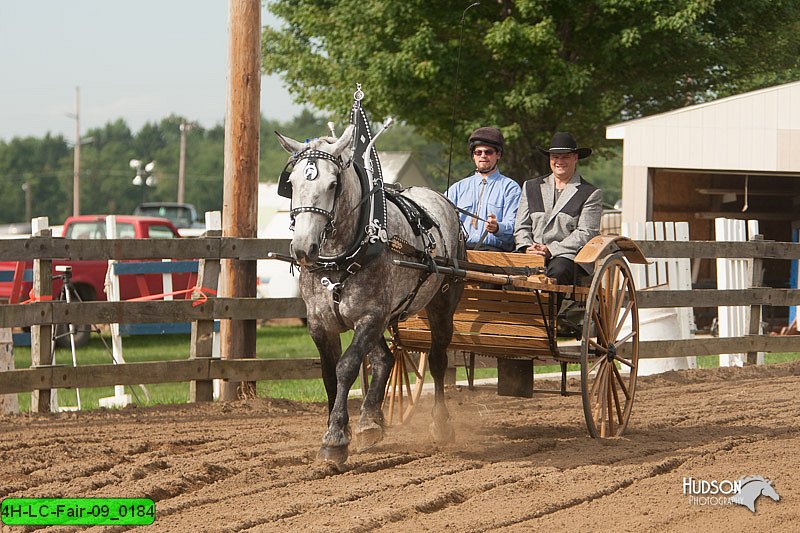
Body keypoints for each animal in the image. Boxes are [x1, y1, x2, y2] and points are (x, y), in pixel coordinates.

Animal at [276, 124, 466, 466]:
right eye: (292, 183)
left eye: (333, 184)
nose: (303, 248)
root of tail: (440, 198)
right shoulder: (320, 324)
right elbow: (328, 374)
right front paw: (340, 428)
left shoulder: (369, 316)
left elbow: (347, 367)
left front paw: (335, 440)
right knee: (385, 358)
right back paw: (370, 421)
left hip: (441, 304)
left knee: (437, 360)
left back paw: (441, 424)